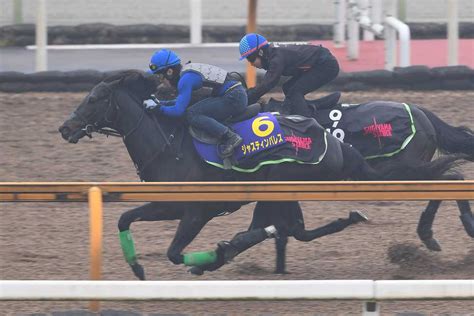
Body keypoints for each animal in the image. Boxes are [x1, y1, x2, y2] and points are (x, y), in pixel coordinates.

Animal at [59, 72, 466, 278]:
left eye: (93, 99)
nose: (65, 128)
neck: (171, 141)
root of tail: (420, 113)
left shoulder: (198, 209)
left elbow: (176, 253)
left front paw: (208, 258)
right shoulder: (170, 204)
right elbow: (126, 218)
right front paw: (139, 268)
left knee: (449, 179)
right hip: (286, 188)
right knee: (296, 229)